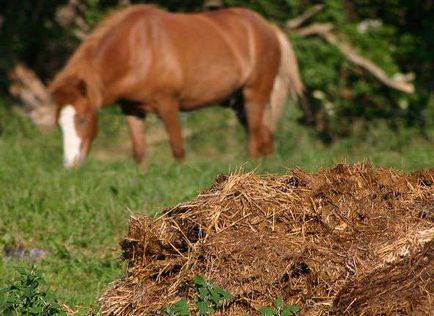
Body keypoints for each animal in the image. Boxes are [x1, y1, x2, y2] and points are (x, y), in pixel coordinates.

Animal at [49, 5, 304, 168]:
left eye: (82, 119)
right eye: (59, 123)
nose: (70, 164)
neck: (136, 48)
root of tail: (269, 27)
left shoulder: (168, 104)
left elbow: (178, 148)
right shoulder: (132, 109)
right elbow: (139, 152)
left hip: (255, 95)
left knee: (254, 139)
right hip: (239, 103)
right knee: (265, 138)